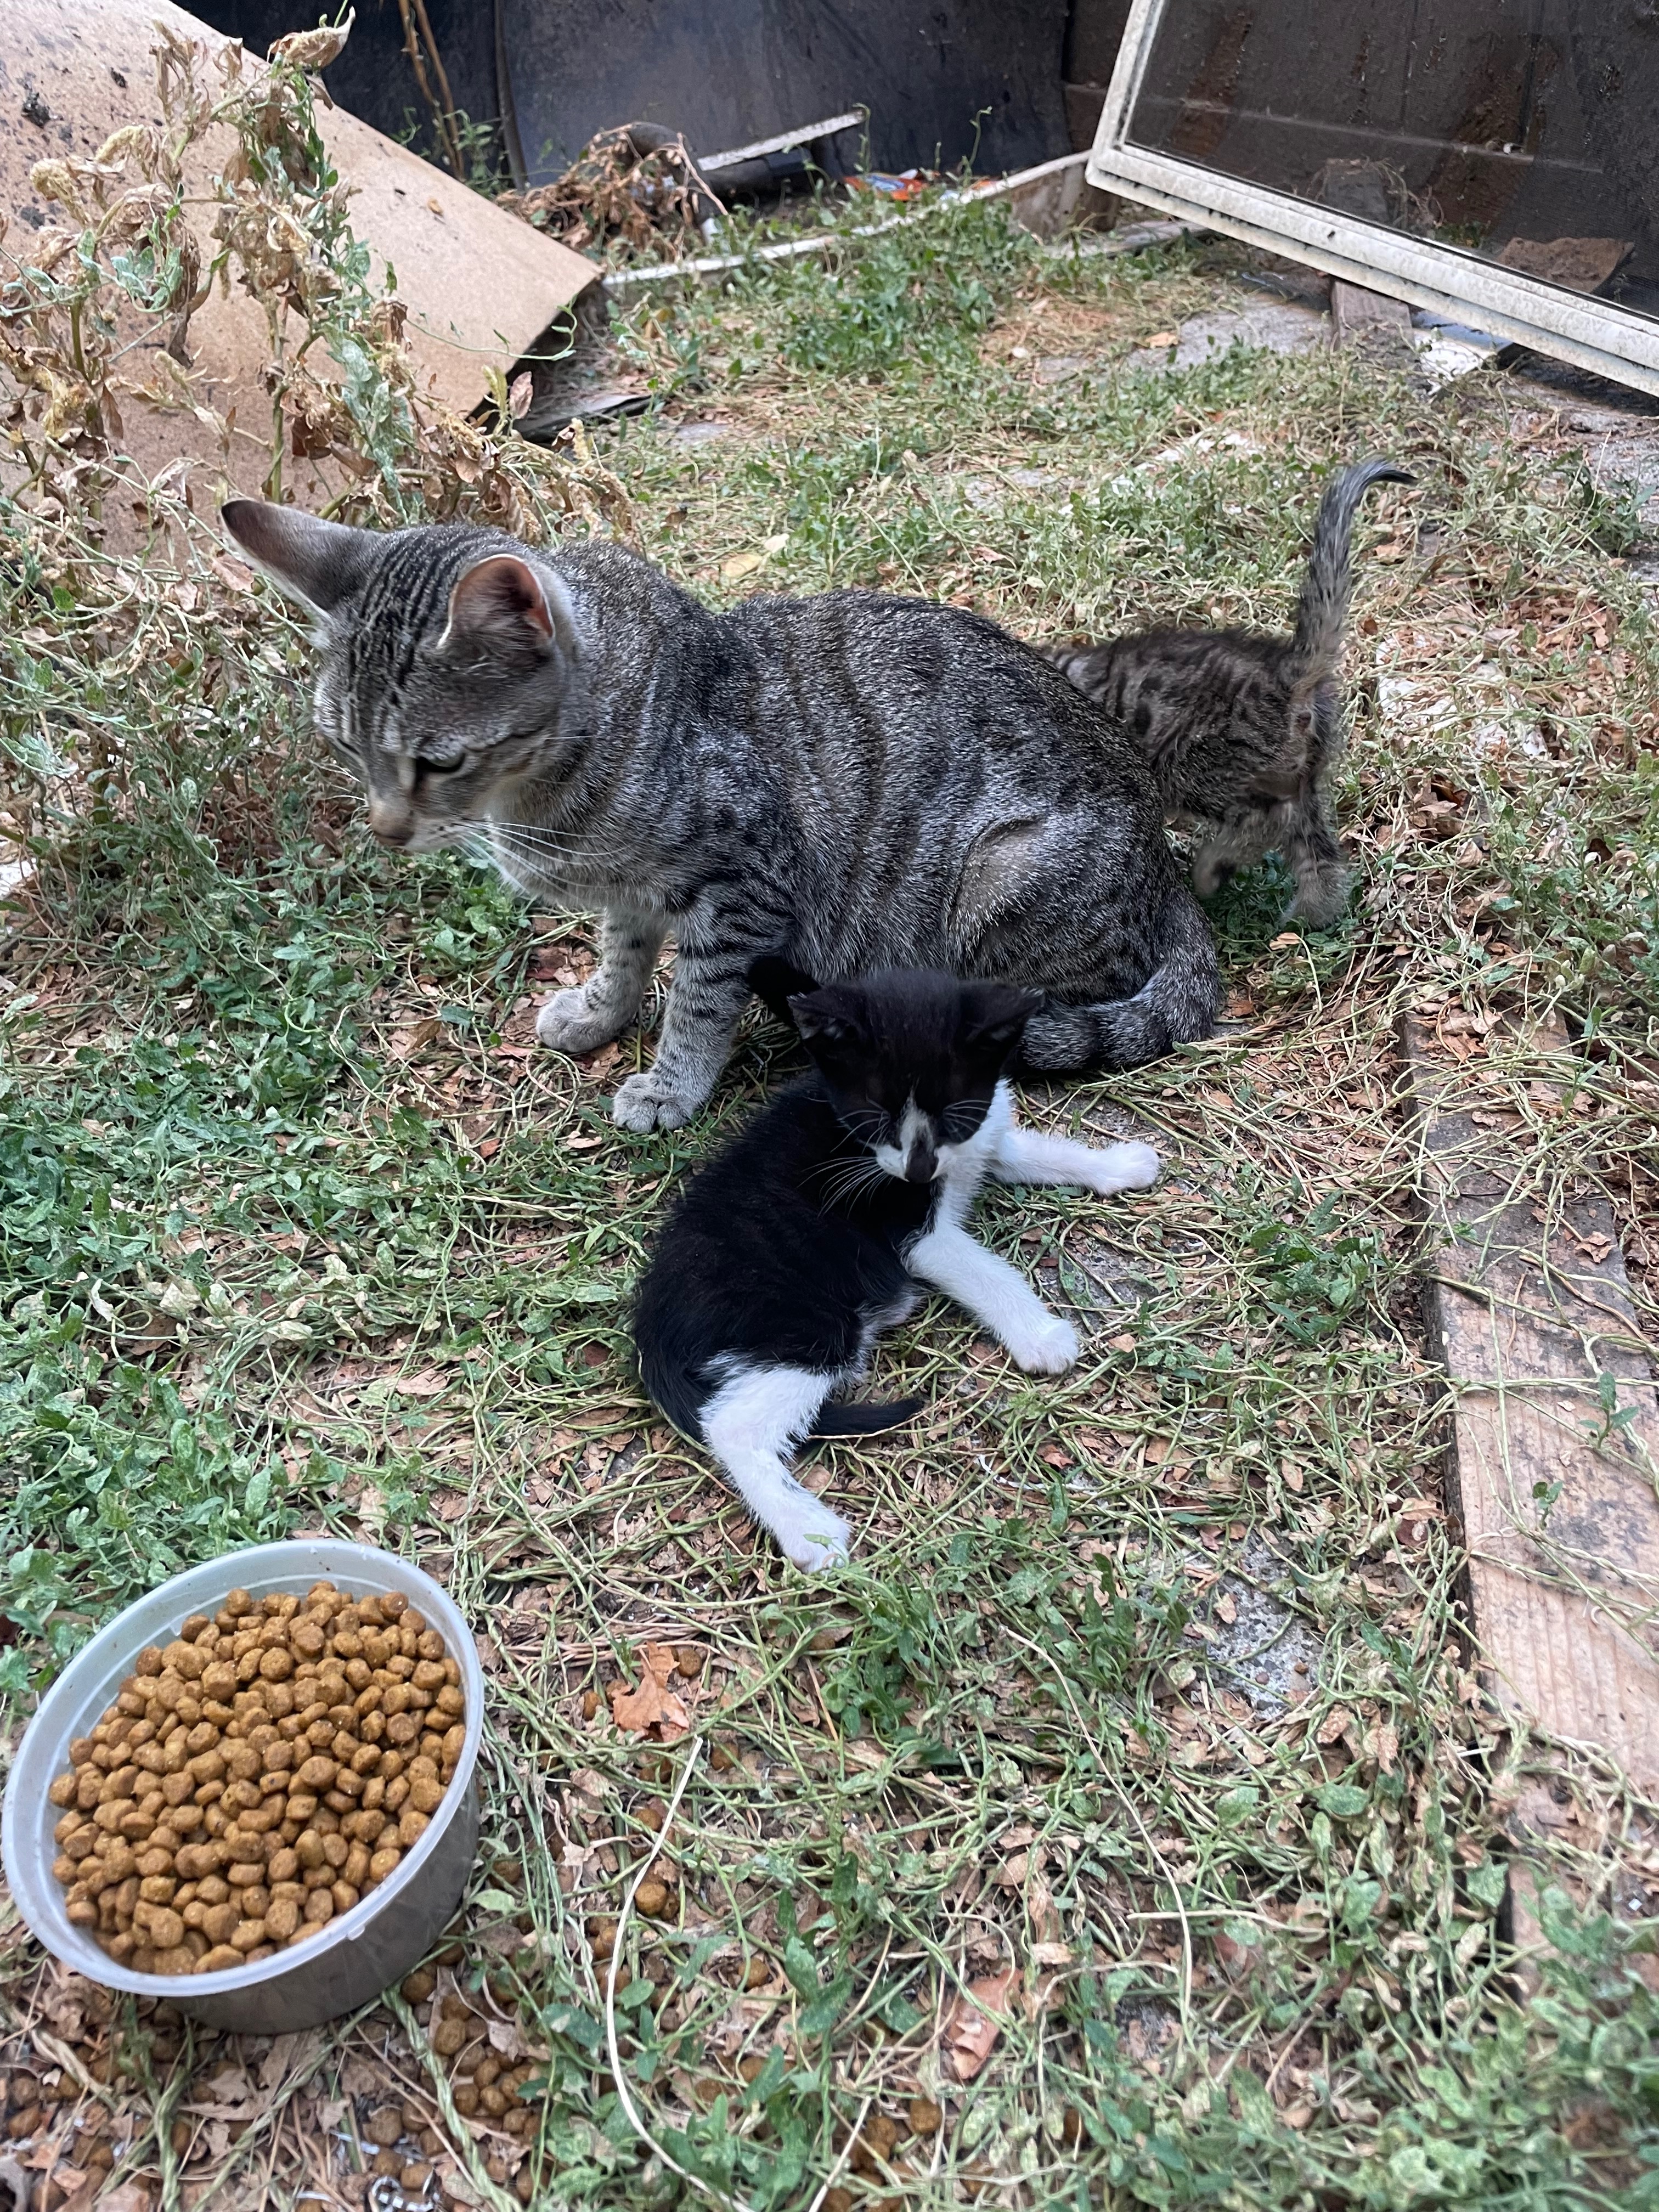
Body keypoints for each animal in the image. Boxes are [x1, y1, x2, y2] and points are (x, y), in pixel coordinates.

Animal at [220, 500, 1218, 1133]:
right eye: (343, 747)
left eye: (439, 761)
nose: (384, 829)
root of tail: (1165, 868)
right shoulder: (634, 892)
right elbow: (622, 955)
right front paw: (601, 1012)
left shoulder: (743, 883)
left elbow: (701, 1000)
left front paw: (671, 1085)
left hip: (996, 881)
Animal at [632, 964, 1160, 1569]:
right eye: (875, 1117)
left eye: (954, 1112)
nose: (918, 1170)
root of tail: (652, 1320)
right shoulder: (914, 1232)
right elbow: (987, 1271)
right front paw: (1040, 1335)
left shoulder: (985, 1142)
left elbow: (1041, 1151)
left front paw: (1119, 1164)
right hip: (808, 1325)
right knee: (733, 1426)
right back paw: (808, 1533)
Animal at [1043, 457, 1413, 926]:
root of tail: (1284, 670)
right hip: (1300, 779)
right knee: (1321, 858)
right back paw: (1306, 918)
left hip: (1192, 763)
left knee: (1264, 821)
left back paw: (1210, 871)